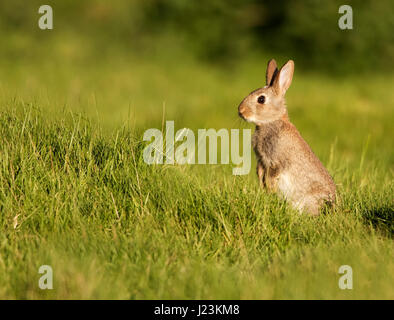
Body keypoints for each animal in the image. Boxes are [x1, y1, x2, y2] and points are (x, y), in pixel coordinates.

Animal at [237, 59, 336, 216]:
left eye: (261, 99)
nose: (240, 111)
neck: (271, 121)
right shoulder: (261, 161)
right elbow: (260, 173)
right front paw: (264, 190)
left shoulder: (277, 162)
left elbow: (272, 176)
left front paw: (269, 190)